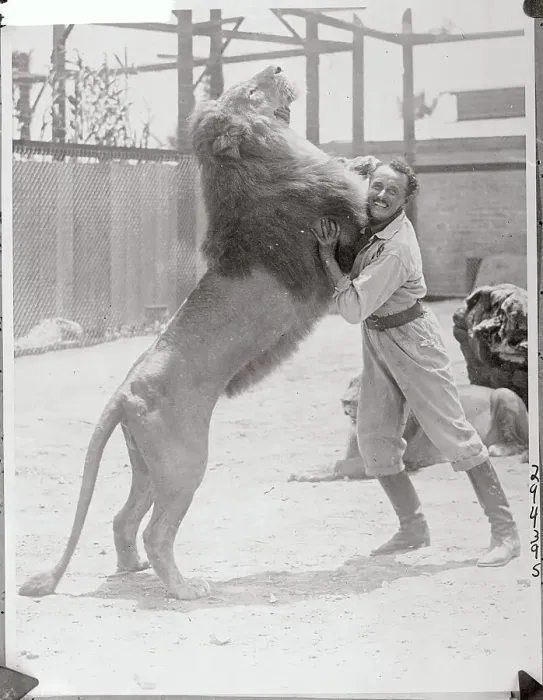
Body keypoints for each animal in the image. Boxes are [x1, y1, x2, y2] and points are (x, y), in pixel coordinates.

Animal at [19, 65, 371, 601]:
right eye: (251, 91)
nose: (277, 67)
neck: (261, 161)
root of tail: (123, 391)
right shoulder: (342, 232)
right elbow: (367, 199)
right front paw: (375, 166)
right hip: (185, 464)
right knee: (155, 530)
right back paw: (185, 589)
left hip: (150, 466)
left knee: (122, 519)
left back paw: (133, 569)